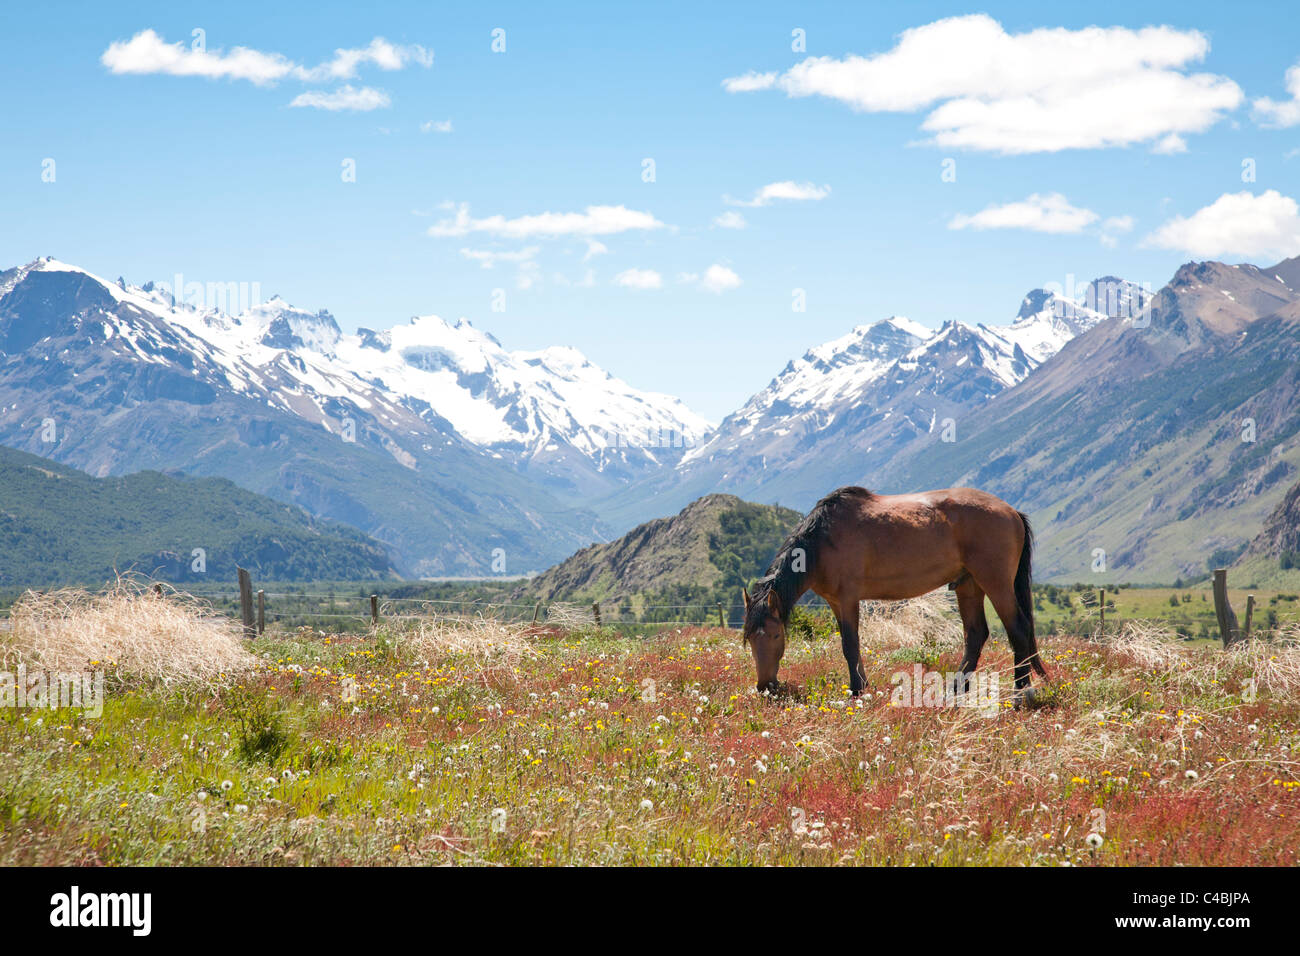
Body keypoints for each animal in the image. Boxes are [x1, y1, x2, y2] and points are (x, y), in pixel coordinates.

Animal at [743, 486, 1045, 702]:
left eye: (776, 636)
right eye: (750, 639)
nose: (765, 687)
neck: (822, 541)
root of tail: (1012, 512)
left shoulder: (848, 599)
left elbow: (850, 644)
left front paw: (857, 690)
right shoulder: (835, 602)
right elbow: (848, 645)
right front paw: (860, 685)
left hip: (995, 582)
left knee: (1018, 630)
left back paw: (1020, 694)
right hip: (969, 585)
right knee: (976, 634)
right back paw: (956, 690)